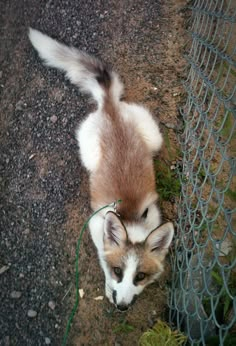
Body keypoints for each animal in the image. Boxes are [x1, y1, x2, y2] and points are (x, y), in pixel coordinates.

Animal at [28, 29, 174, 310]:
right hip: (89, 153)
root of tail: (110, 108)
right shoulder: (96, 225)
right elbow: (102, 257)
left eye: (140, 276)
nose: (122, 307)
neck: (130, 216)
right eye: (119, 271)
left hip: (153, 138)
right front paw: (109, 286)